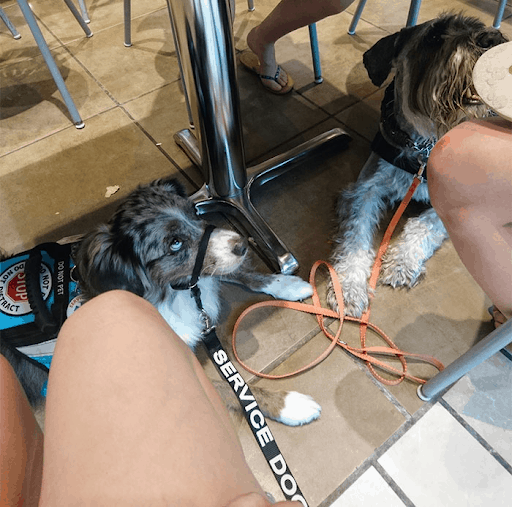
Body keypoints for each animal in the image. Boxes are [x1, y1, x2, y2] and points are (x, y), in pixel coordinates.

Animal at [330, 12, 506, 318]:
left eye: (479, 25)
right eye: (434, 37)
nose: (492, 38)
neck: (425, 144)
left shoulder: (453, 201)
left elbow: (423, 224)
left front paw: (402, 262)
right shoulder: (365, 189)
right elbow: (356, 237)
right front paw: (348, 287)